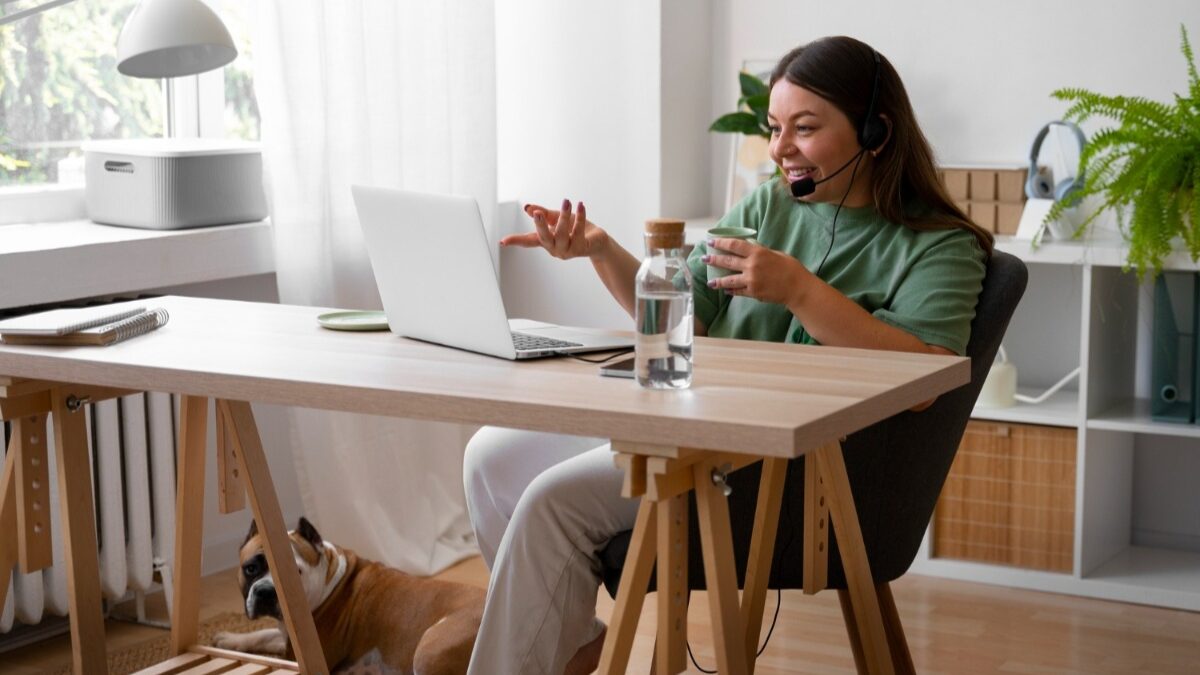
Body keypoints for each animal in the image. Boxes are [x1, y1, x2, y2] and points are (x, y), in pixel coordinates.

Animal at [216, 516, 482, 667]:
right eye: (251, 568)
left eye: (294, 574)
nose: (266, 591)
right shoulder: (290, 636)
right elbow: (264, 634)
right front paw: (228, 639)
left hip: (429, 648)